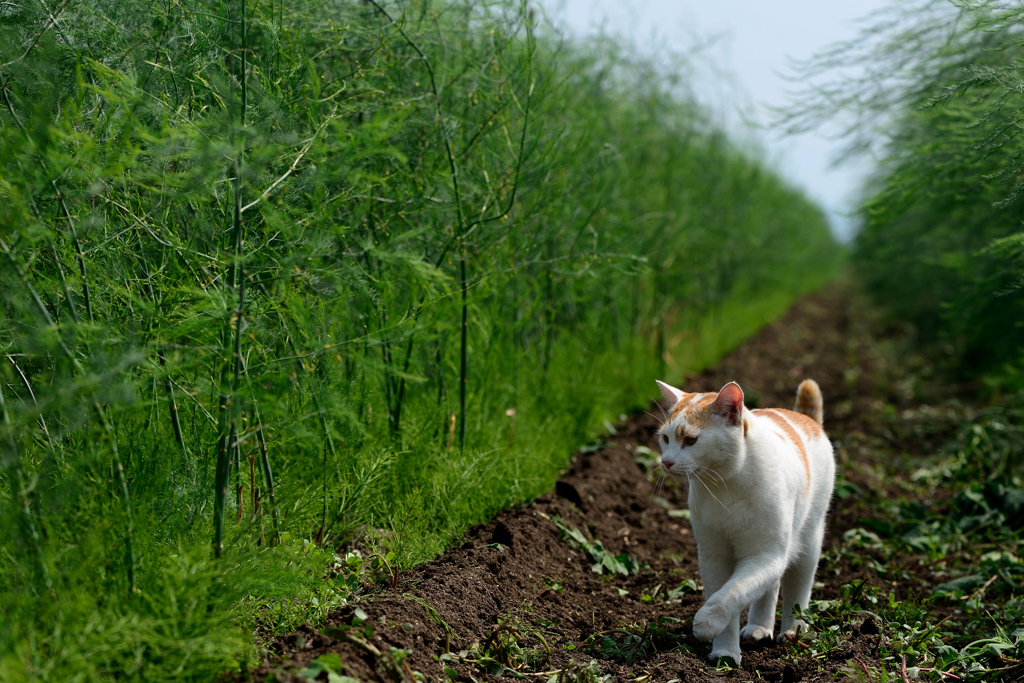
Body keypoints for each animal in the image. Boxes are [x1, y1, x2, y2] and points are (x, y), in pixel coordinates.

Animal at [651, 376, 835, 663]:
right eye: (665, 438)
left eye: (691, 440)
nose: (666, 462)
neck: (725, 485)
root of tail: (805, 418)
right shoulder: (714, 557)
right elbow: (727, 594)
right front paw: (724, 653)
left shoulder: (766, 556)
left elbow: (732, 593)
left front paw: (706, 623)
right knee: (770, 588)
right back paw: (759, 628)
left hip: (807, 542)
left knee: (797, 587)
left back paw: (793, 632)